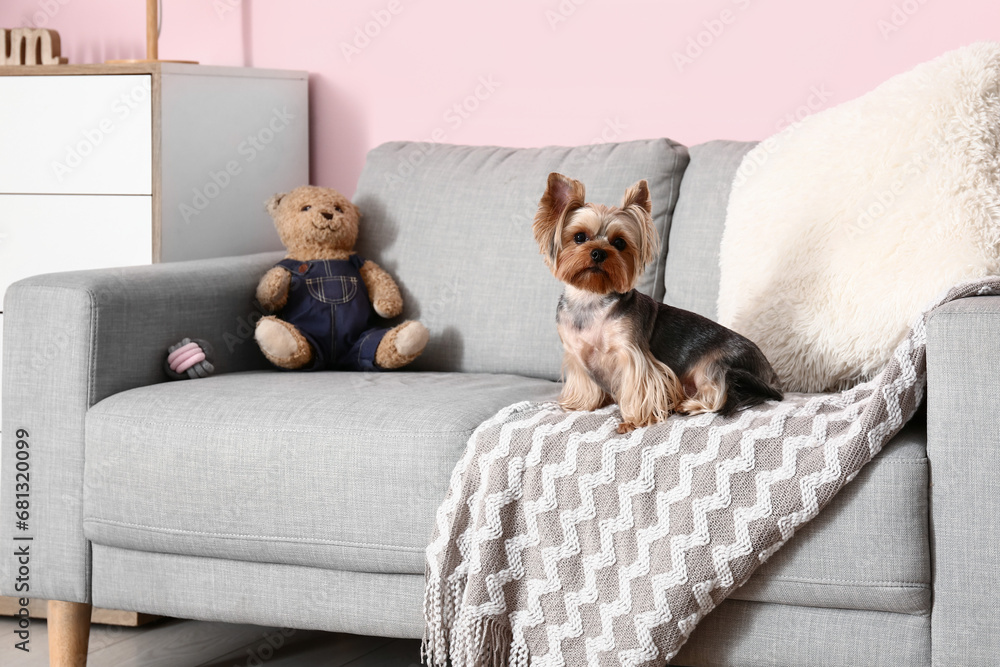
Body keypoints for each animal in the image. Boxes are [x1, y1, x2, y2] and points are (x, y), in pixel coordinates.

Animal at [532, 172, 780, 434]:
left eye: (619, 243)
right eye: (579, 237)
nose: (599, 252)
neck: (592, 298)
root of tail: (772, 375)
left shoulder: (633, 353)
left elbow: (638, 386)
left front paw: (632, 421)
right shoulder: (576, 354)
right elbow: (584, 382)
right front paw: (580, 405)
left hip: (716, 365)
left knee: (719, 390)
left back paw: (690, 405)